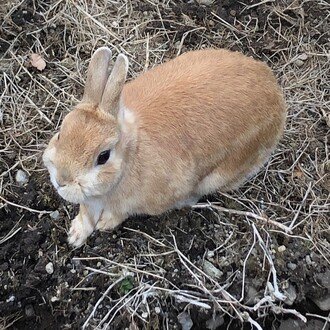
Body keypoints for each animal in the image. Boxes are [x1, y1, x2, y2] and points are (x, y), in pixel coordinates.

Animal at [43, 47, 286, 248]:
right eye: (60, 134)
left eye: (103, 156)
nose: (61, 180)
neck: (132, 153)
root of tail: (275, 92)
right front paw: (75, 236)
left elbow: (119, 213)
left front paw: (104, 224)